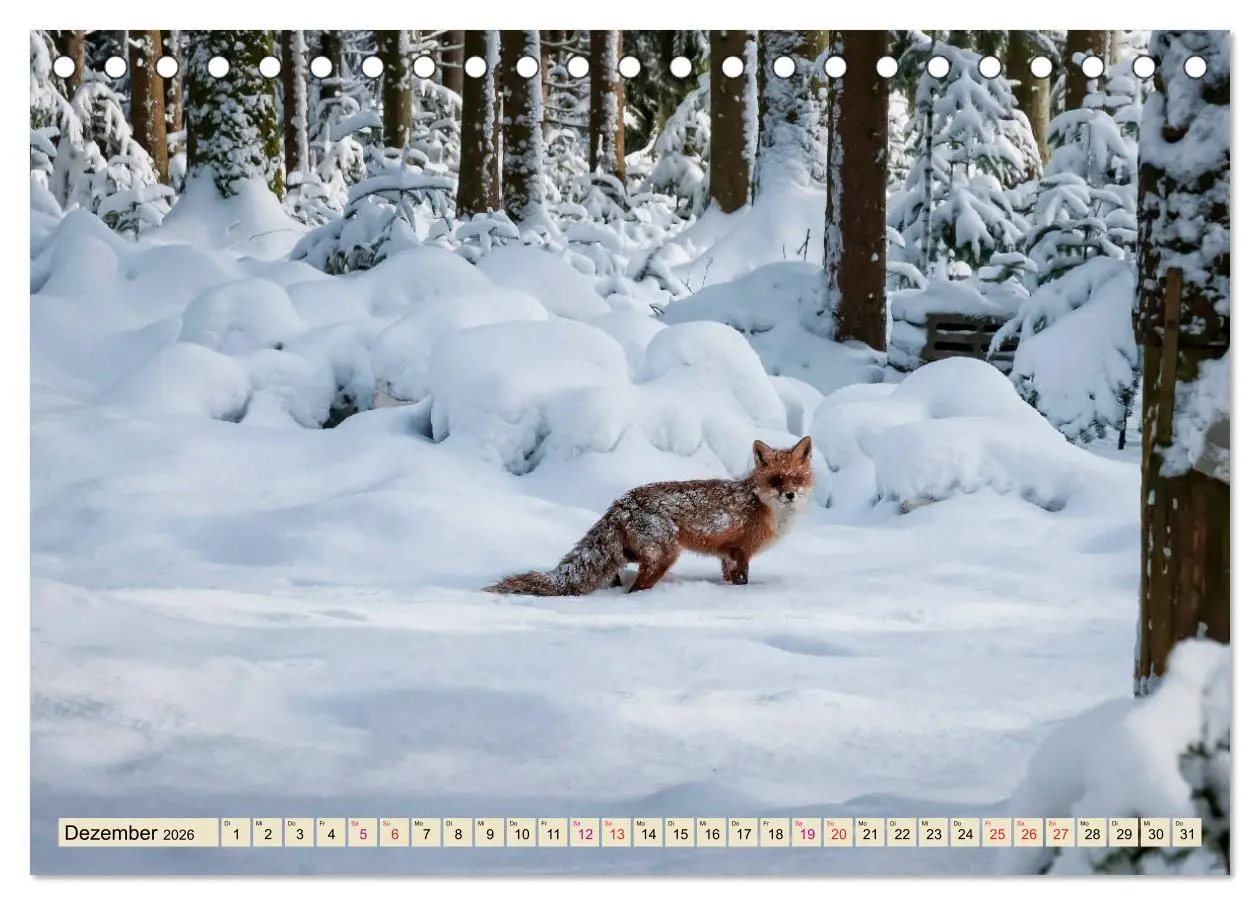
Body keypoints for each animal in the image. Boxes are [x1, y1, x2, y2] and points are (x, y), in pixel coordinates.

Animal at [485, 436, 814, 596]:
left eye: (796, 479)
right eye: (776, 480)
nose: (790, 495)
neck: (763, 506)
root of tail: (622, 502)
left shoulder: (726, 556)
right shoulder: (739, 553)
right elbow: (741, 582)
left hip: (632, 554)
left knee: (616, 573)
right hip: (664, 557)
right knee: (635, 589)